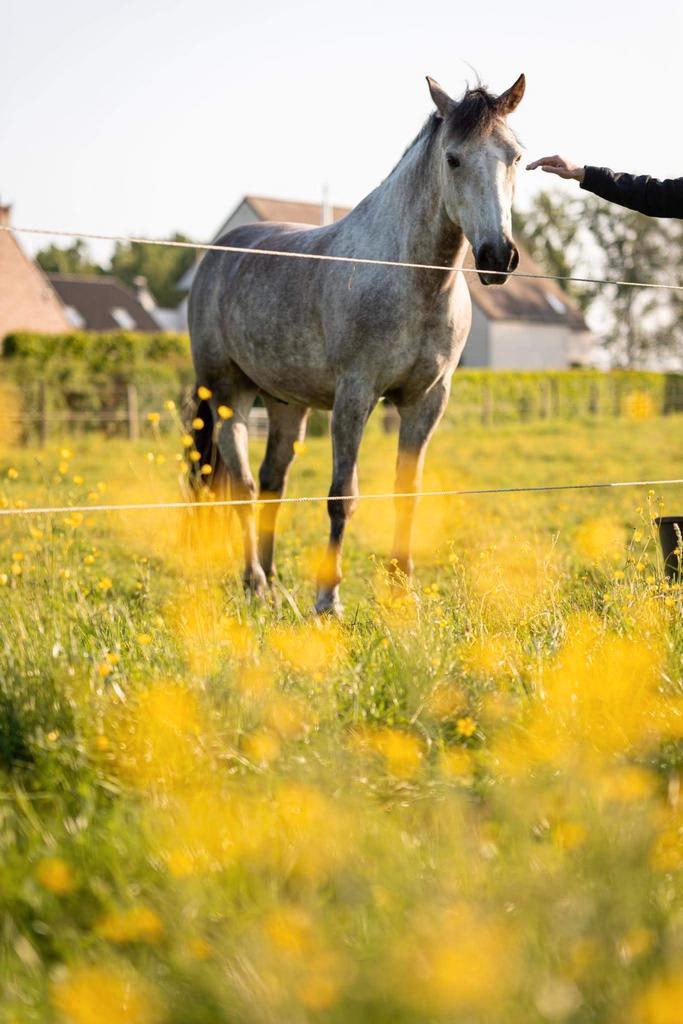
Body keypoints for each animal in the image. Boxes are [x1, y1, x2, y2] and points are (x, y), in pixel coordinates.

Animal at [189, 73, 526, 615]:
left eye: (514, 156)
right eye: (453, 158)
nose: (498, 257)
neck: (411, 279)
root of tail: (216, 255)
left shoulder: (426, 401)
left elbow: (407, 492)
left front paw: (402, 591)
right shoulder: (354, 397)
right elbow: (341, 496)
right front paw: (329, 599)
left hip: (286, 405)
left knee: (272, 481)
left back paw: (275, 581)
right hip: (227, 395)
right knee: (241, 486)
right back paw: (256, 583)